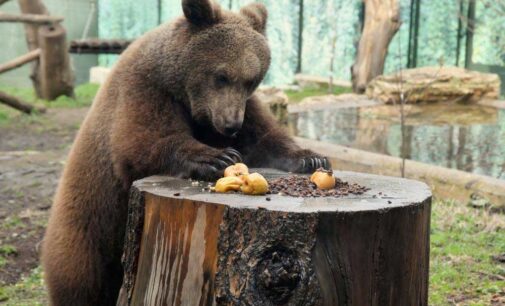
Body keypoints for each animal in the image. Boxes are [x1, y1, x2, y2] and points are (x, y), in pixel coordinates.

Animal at [41, 0, 328, 304]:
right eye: (221, 76)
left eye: (251, 80)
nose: (230, 124)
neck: (185, 94)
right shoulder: (146, 90)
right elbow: (143, 142)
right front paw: (218, 157)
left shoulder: (242, 109)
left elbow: (264, 138)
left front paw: (311, 157)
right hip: (89, 229)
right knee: (83, 280)